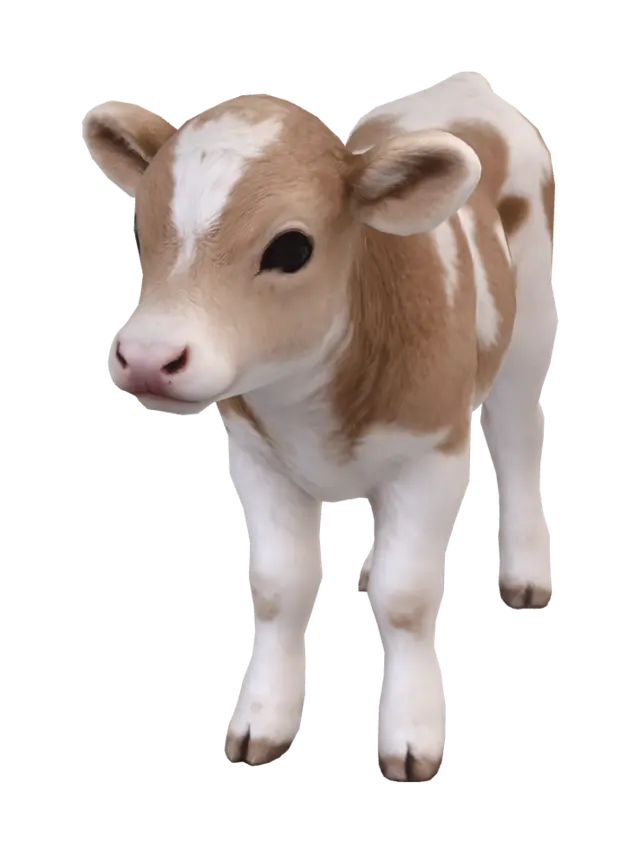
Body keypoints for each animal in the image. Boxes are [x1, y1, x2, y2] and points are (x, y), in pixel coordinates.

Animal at [81, 72, 558, 783]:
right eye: (138, 233)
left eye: (291, 248)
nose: (145, 357)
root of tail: (464, 82)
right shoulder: (256, 457)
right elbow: (280, 587)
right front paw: (262, 722)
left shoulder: (432, 453)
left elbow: (407, 597)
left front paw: (411, 736)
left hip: (529, 328)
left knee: (520, 437)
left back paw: (526, 574)